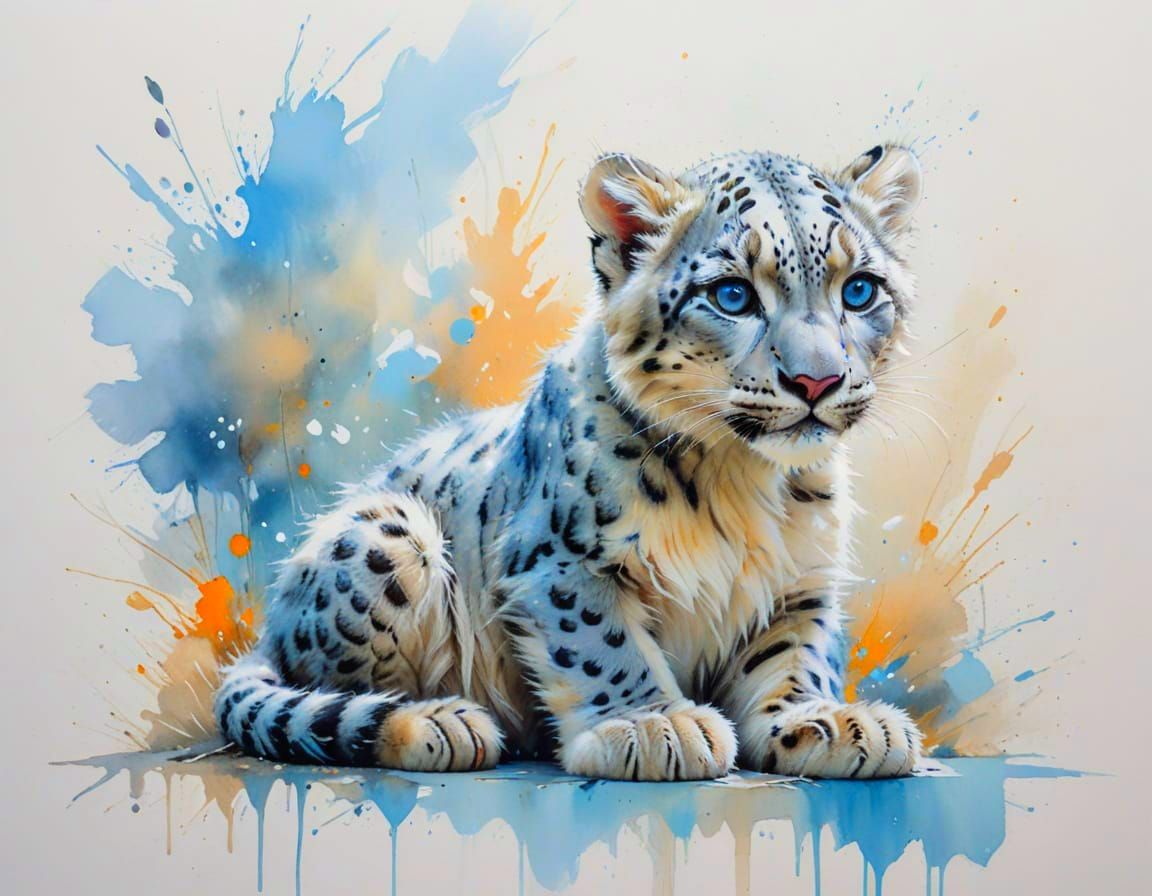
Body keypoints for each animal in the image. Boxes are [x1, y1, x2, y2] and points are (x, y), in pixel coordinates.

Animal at [214, 143, 926, 780]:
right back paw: (441, 721)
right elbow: (601, 642)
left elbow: (791, 657)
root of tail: (269, 631)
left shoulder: (801, 584)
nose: (817, 381)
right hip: (387, 536)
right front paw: (654, 723)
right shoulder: (560, 560)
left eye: (859, 290)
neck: (744, 479)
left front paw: (826, 721)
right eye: (731, 295)